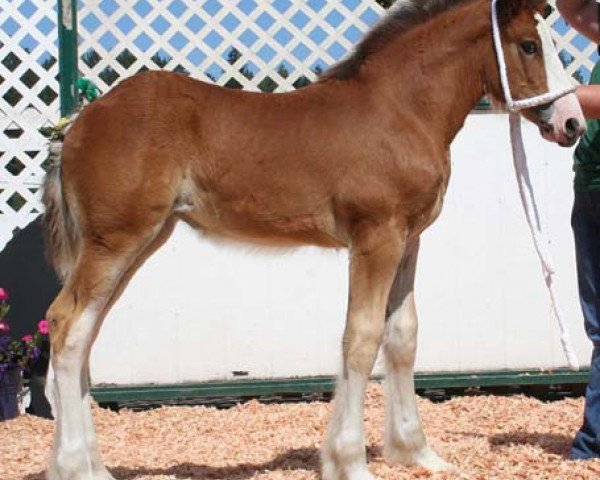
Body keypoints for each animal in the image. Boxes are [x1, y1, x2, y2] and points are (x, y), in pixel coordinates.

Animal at [43, 0, 584, 480]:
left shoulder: (408, 241)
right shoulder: (375, 238)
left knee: (86, 334)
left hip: (137, 243)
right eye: (529, 45)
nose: (572, 123)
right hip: (115, 242)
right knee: (67, 326)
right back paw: (75, 469)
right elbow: (361, 339)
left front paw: (417, 454)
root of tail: (78, 124)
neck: (400, 110)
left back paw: (95, 466)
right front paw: (351, 463)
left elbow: (402, 337)